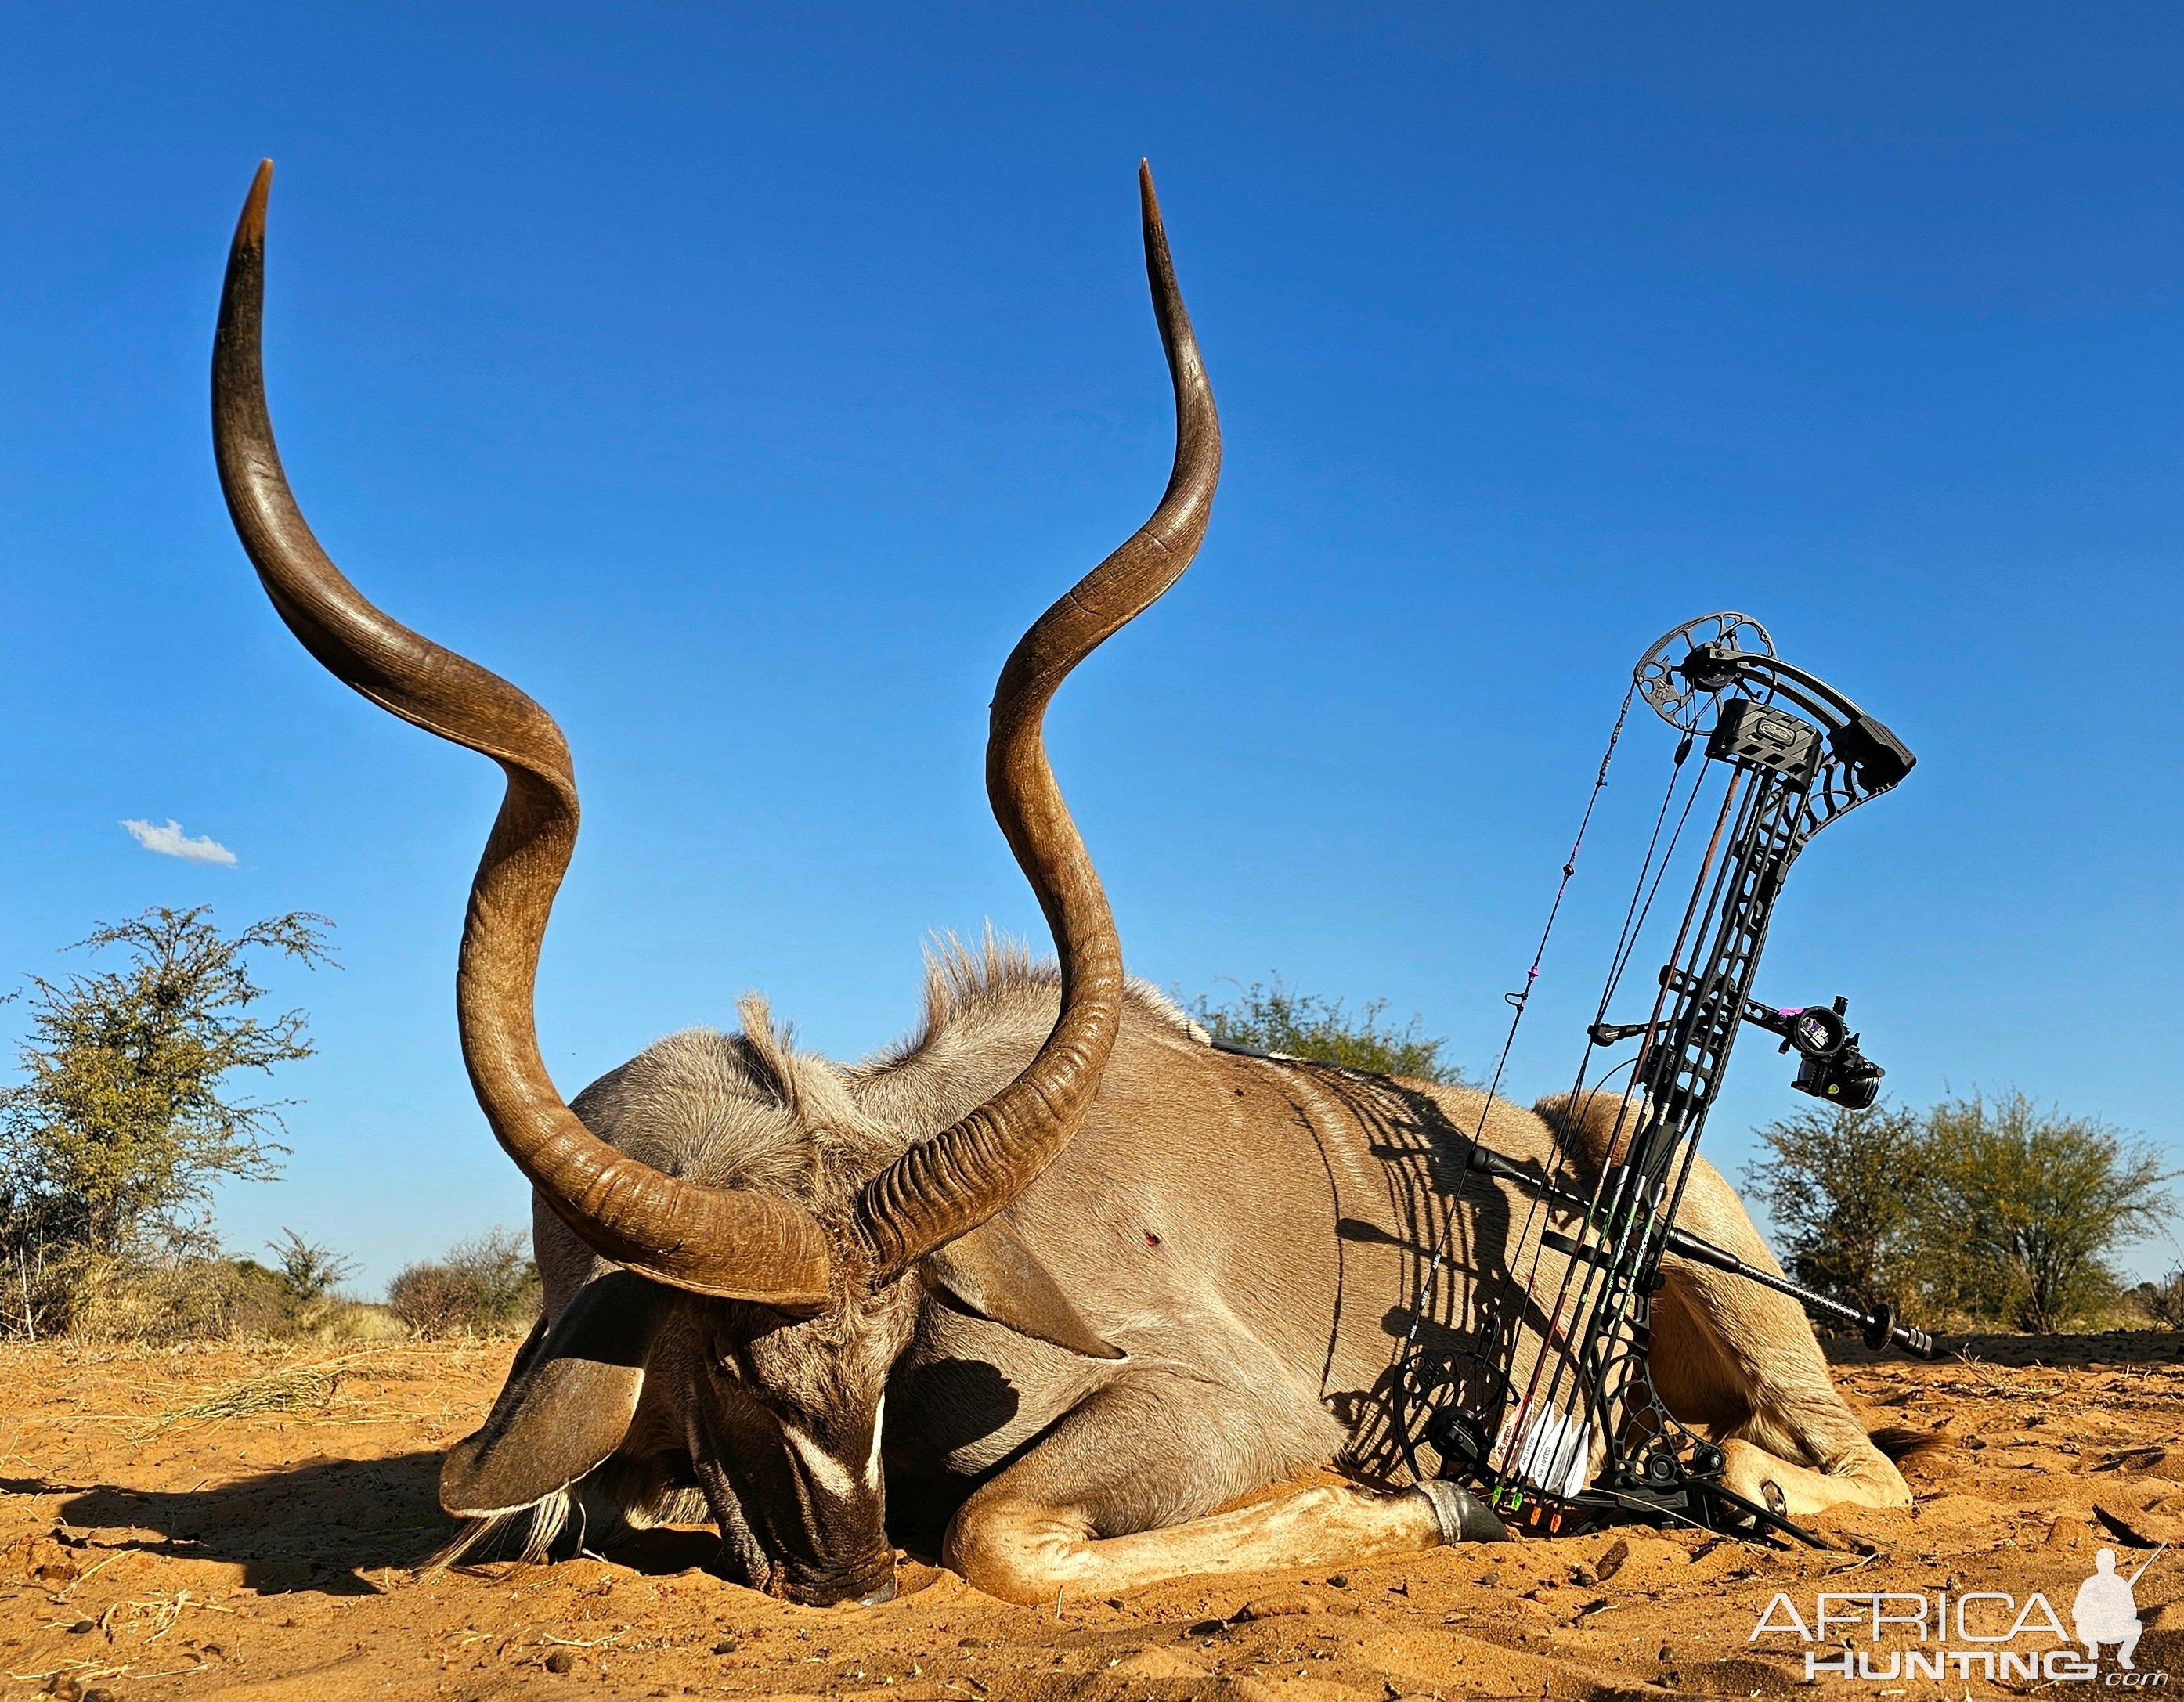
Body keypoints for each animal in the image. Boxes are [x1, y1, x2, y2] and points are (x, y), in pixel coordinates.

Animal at [208, 159, 1913, 1607]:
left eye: (897, 1342)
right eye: (728, 1360)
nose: (850, 1570)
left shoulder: (1217, 1404)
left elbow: (1001, 1532)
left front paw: (1412, 1498)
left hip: (1677, 1199)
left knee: (1849, 1465)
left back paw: (1692, 1466)